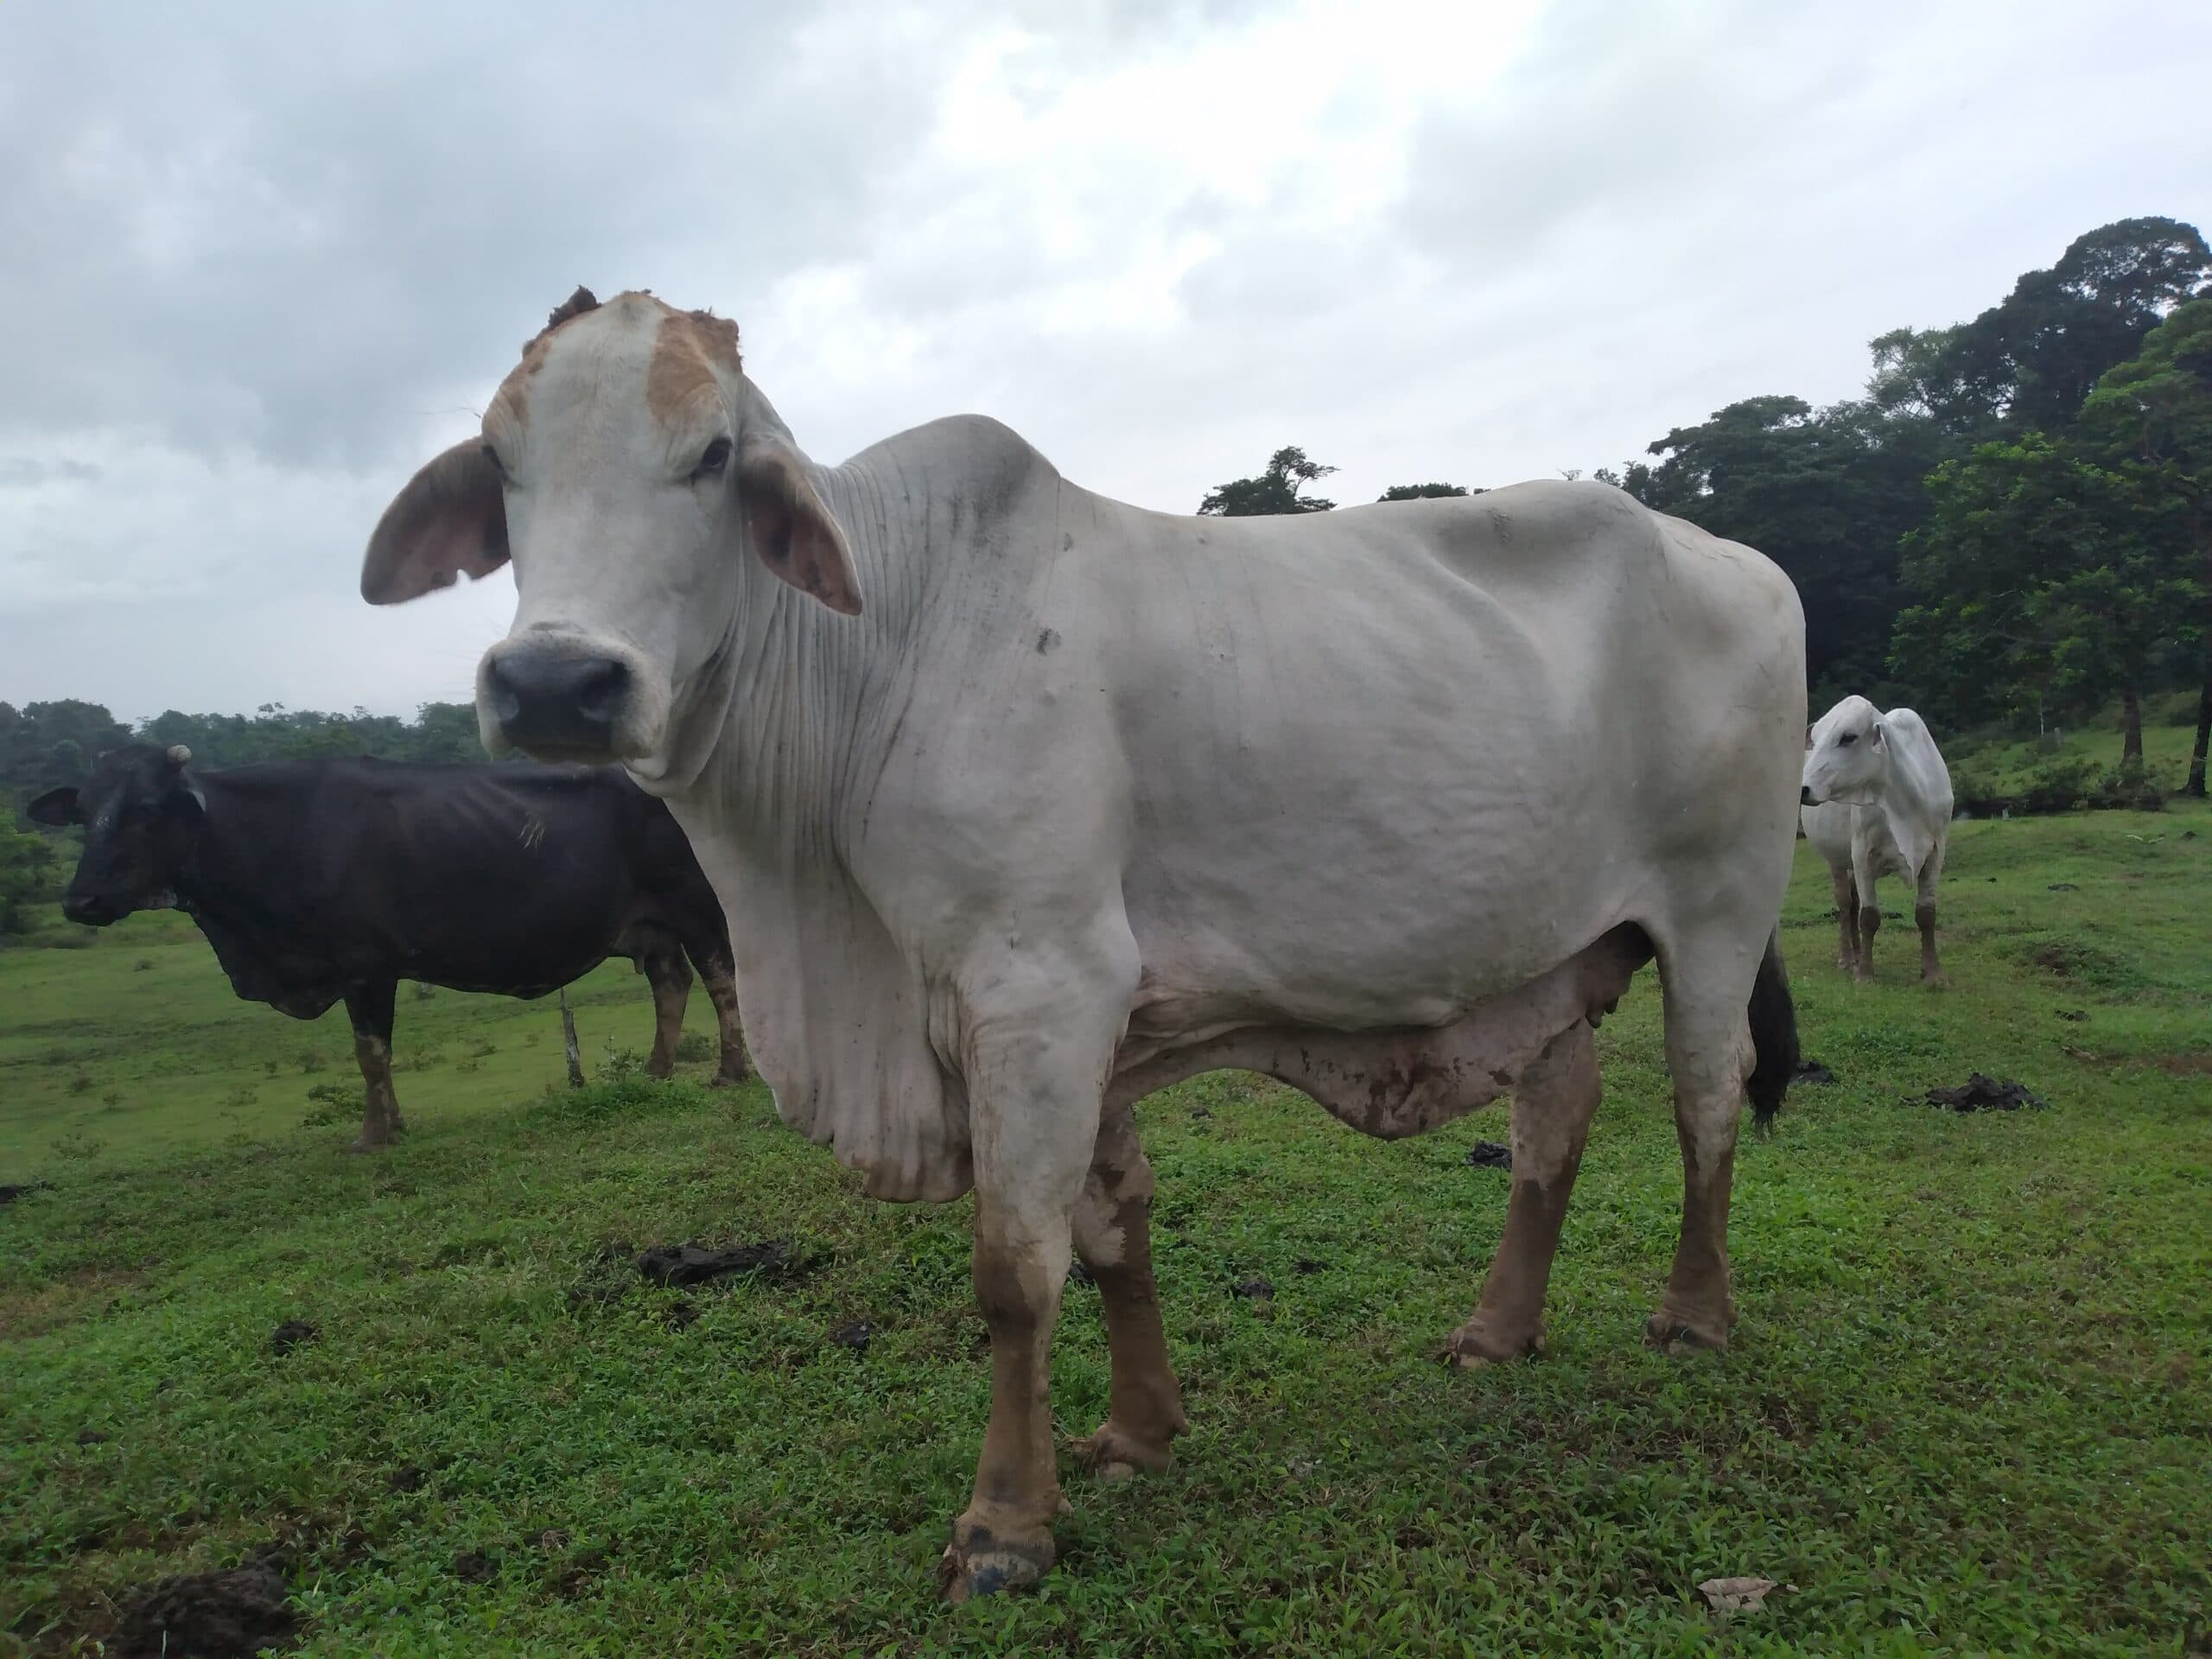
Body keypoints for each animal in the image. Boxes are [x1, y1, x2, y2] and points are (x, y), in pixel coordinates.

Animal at [26, 743, 748, 1149]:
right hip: (652, 925)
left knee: (720, 981)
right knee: (671, 984)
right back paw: (656, 1072)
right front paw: (392, 1125)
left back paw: (730, 1071)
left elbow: (370, 1054)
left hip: (698, 904)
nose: (81, 901)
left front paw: (376, 1134)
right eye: (84, 813)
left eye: (146, 810)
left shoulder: (366, 966)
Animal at [358, 286, 1806, 1600]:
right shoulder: (1086, 1021)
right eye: (500, 460)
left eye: (713, 455)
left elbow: (1016, 1270)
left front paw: (1006, 1526)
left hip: (1721, 910)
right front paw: (1138, 1431)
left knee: (1706, 1099)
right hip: (1553, 952)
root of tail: (1740, 557)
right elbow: (1112, 1234)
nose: (557, 684)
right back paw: (1500, 1331)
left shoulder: (1038, 990)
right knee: (1555, 1119)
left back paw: (1696, 1316)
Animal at [1799, 695, 1954, 984]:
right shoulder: (1862, 851)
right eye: (1815, 738)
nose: (1803, 789)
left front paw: (1933, 973)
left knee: (1853, 901)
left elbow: (1926, 913)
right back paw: (1849, 958)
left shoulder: (1936, 850)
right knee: (1845, 902)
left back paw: (1859, 952)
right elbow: (1869, 915)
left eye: (1848, 737)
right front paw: (1865, 974)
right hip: (1836, 858)